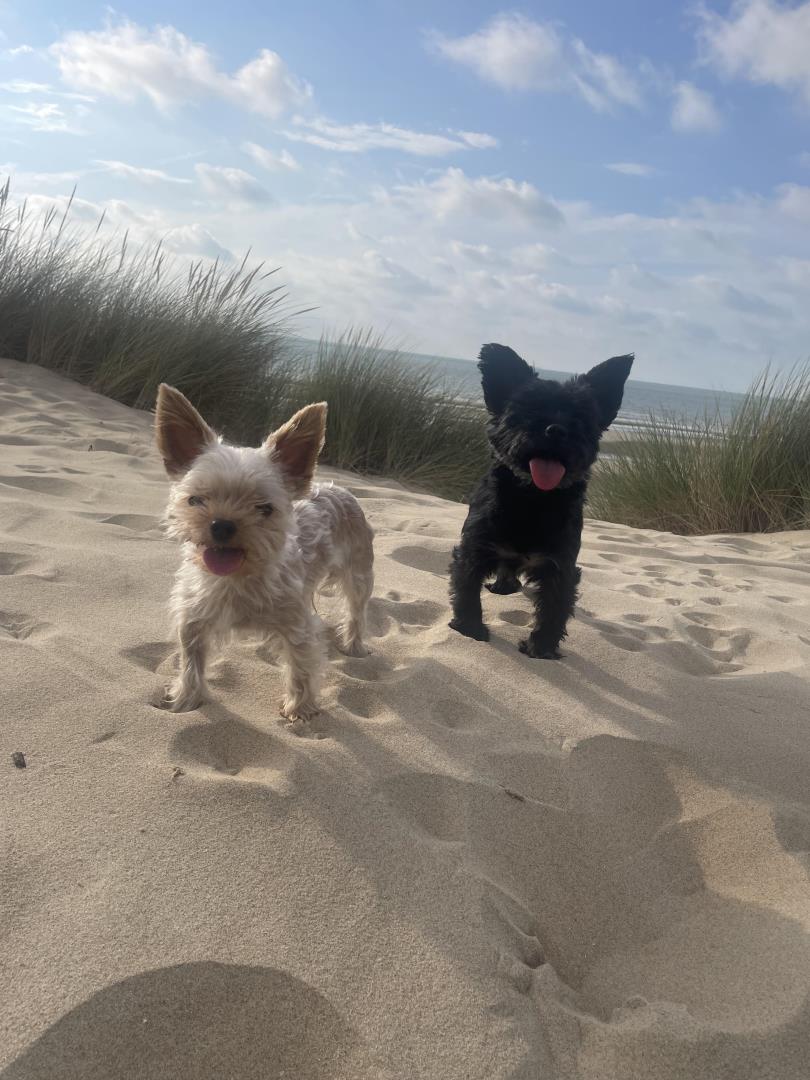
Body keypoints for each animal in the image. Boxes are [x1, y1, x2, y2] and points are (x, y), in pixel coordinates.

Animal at [155, 385, 374, 722]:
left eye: (265, 508)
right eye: (196, 500)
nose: (222, 525)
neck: (238, 576)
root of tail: (340, 488)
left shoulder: (297, 624)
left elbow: (301, 665)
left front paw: (299, 709)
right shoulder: (193, 614)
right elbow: (191, 659)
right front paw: (187, 699)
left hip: (359, 571)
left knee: (356, 609)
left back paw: (354, 645)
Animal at [449, 344, 633, 658]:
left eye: (580, 418)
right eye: (528, 409)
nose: (556, 429)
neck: (534, 500)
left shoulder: (560, 566)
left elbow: (554, 608)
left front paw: (542, 648)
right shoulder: (475, 549)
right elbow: (467, 590)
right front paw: (470, 629)